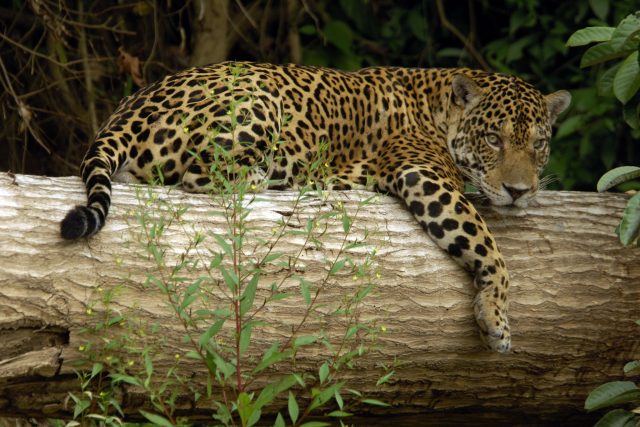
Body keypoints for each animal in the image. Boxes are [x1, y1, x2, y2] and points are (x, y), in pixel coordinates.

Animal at [60, 61, 571, 353]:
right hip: (259, 104)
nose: (520, 191)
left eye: (539, 143)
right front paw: (497, 320)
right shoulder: (423, 174)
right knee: (205, 177)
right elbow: (489, 249)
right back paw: (280, 176)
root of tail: (128, 109)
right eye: (493, 139)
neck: (440, 106)